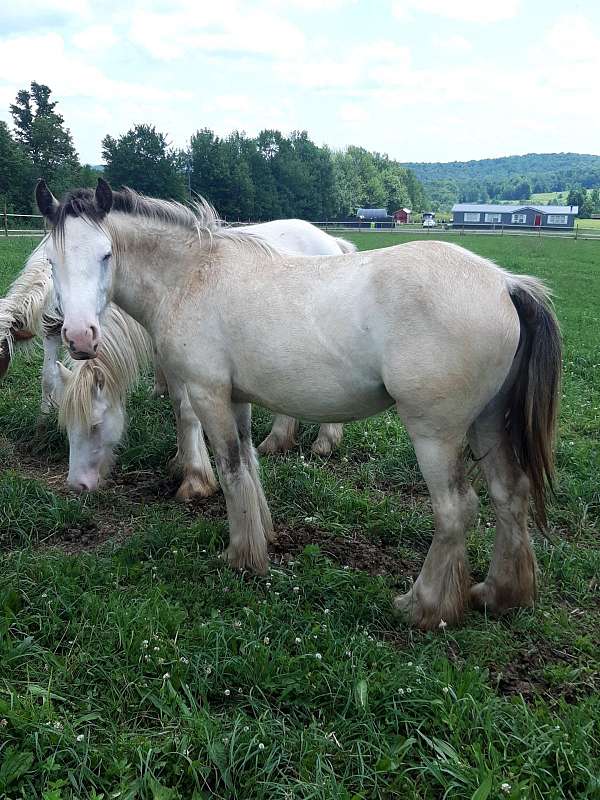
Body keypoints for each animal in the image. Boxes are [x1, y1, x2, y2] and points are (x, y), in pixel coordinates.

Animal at [37, 181, 564, 632]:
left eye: (106, 254)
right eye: (53, 262)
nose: (79, 337)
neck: (192, 275)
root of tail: (504, 283)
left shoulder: (207, 394)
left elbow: (230, 470)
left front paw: (241, 557)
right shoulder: (237, 399)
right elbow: (249, 463)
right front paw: (264, 536)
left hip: (436, 433)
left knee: (456, 510)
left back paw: (423, 605)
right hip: (488, 423)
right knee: (510, 493)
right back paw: (499, 593)